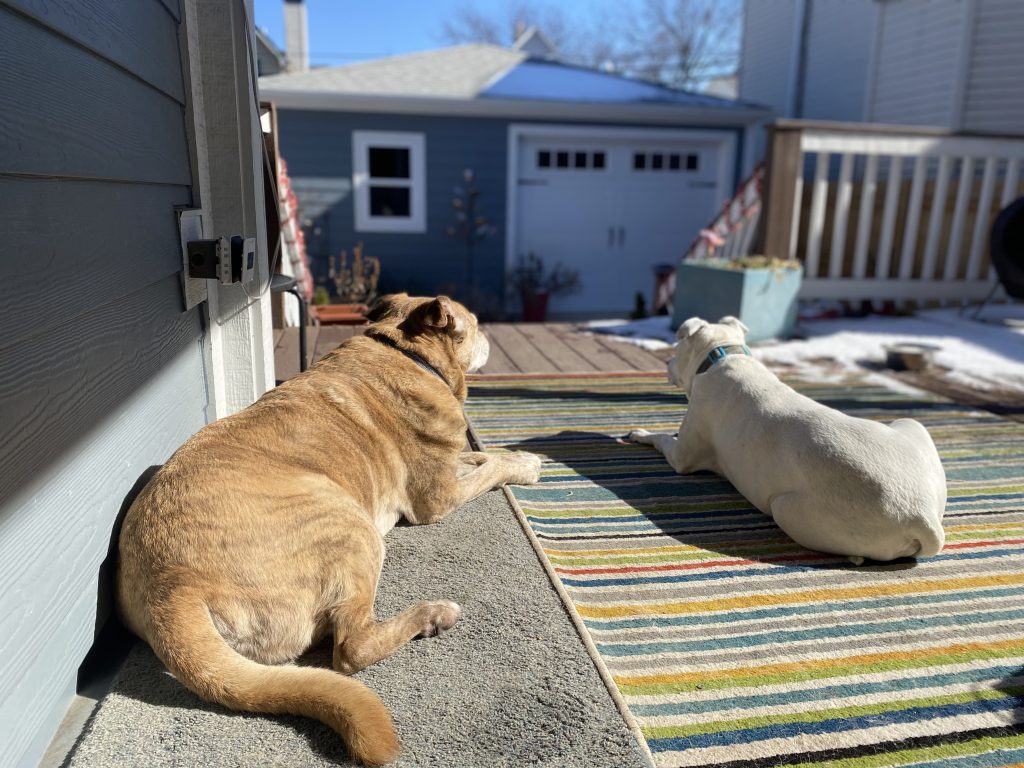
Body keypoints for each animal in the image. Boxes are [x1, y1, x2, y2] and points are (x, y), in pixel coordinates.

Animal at [116, 294, 540, 765]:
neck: (405, 351)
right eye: (477, 324)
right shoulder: (438, 497)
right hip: (353, 527)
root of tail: (172, 586)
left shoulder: (449, 468)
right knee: (351, 650)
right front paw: (527, 465)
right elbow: (492, 468)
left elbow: (484, 457)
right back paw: (431, 615)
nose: (490, 339)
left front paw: (512, 454)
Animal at [626, 315, 946, 561]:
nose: (666, 363)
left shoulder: (683, 456)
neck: (724, 354)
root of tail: (923, 517)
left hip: (786, 510)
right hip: (911, 426)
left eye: (676, 347)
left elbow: (662, 439)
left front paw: (639, 433)